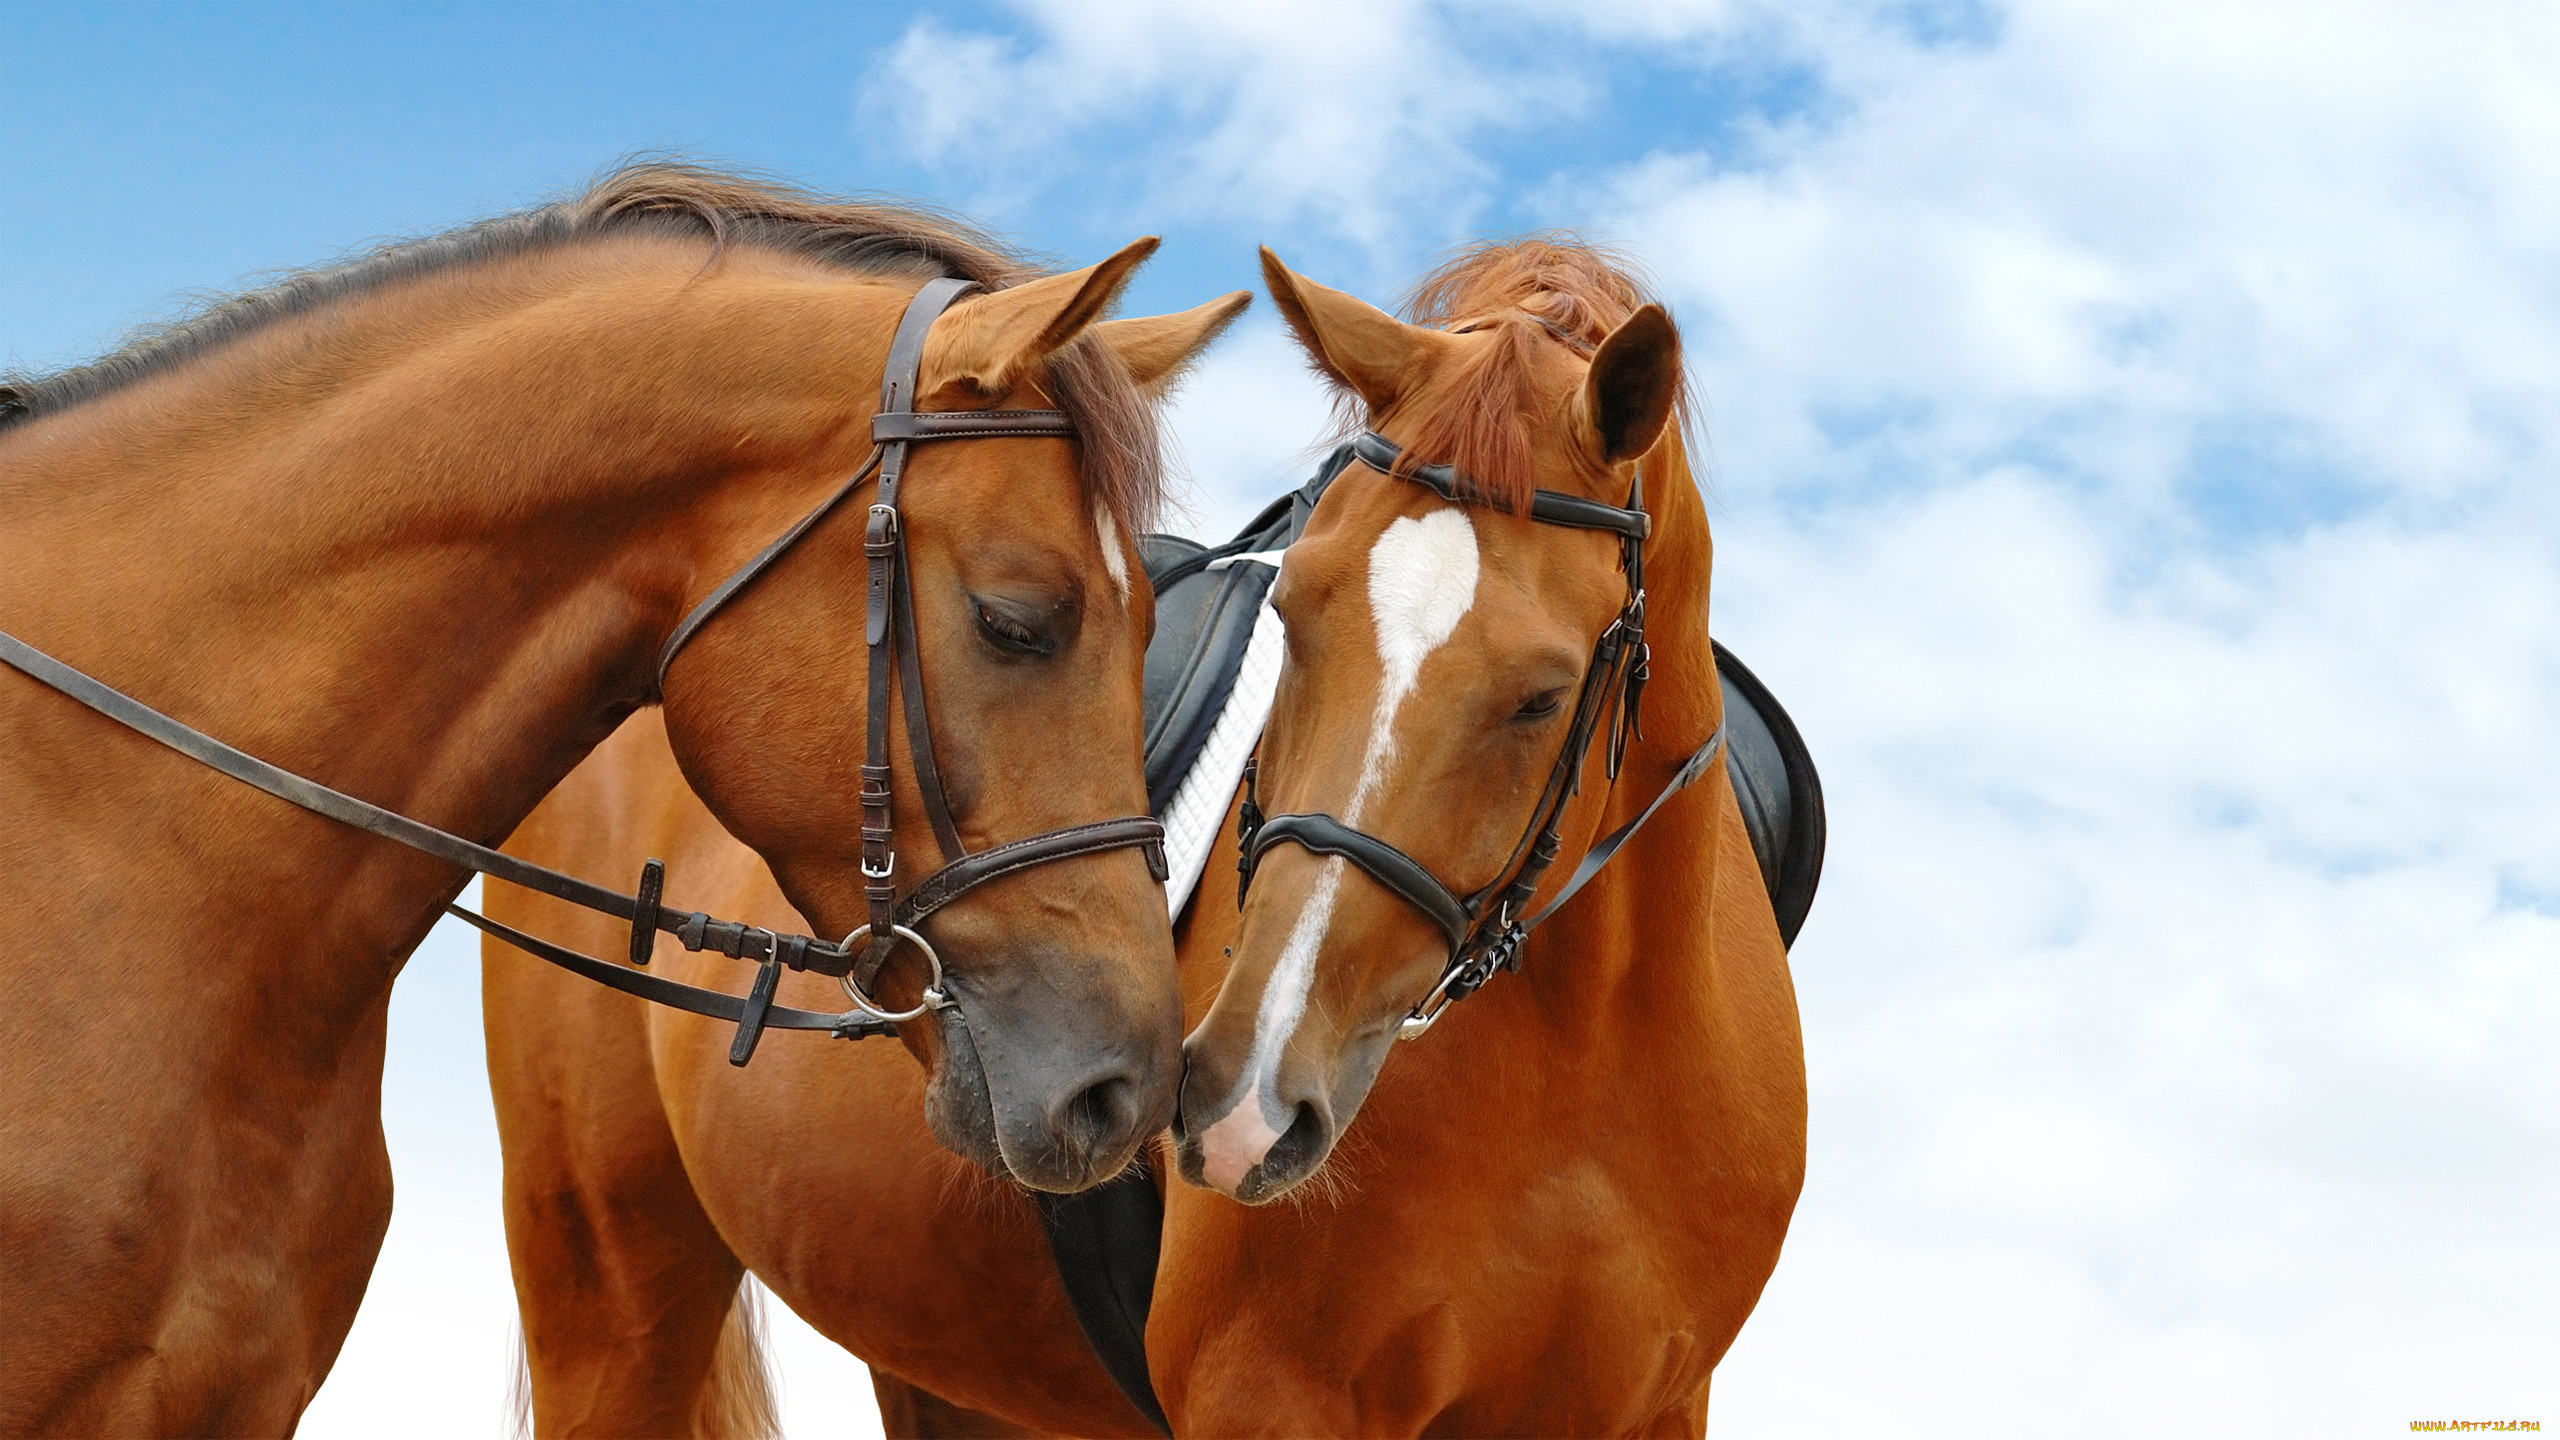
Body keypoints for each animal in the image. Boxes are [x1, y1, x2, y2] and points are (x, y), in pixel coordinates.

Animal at [481, 238, 1802, 1434]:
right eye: (1294, 611)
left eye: (1540, 695)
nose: (1242, 1101)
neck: (1588, 1044)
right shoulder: (1271, 1398)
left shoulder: (1655, 1405)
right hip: (611, 1292)